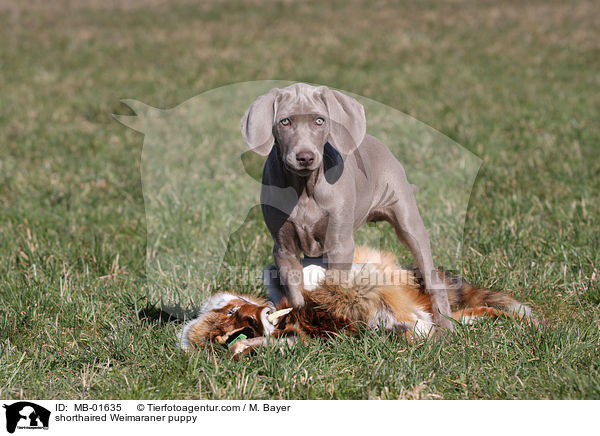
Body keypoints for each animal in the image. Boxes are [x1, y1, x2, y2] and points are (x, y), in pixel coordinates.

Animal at [241, 82, 452, 330]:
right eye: (285, 122)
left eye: (319, 121)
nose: (305, 157)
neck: (305, 188)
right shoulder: (284, 249)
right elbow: (296, 294)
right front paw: (303, 320)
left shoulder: (339, 244)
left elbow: (334, 288)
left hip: (407, 220)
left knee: (433, 278)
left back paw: (446, 327)